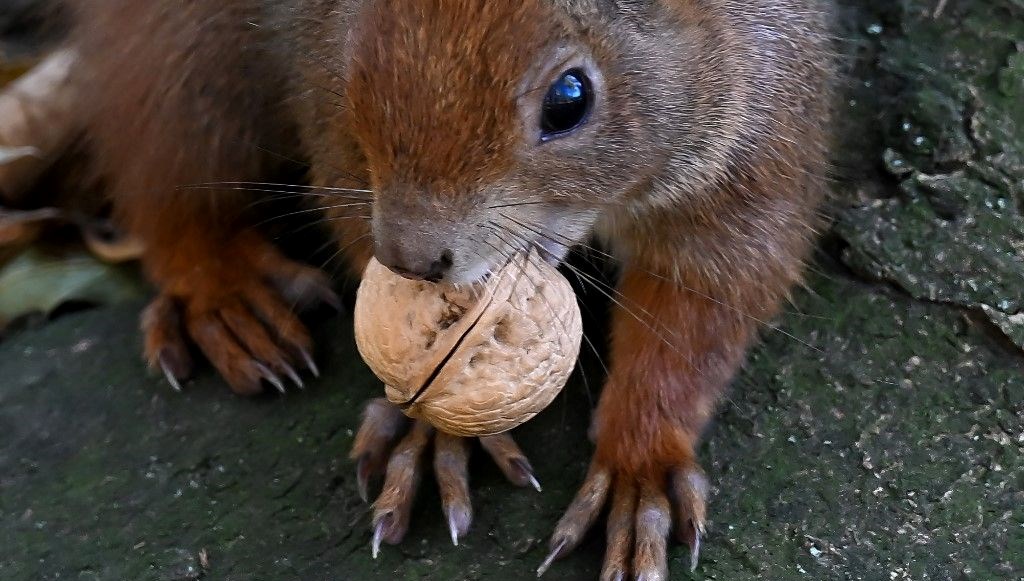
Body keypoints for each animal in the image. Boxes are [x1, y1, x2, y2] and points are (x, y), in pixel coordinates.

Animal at [46, 2, 831, 577]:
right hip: (184, 54)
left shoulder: (754, 130)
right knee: (160, 159)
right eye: (364, 47)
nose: (410, 256)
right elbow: (342, 187)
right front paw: (434, 431)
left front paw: (639, 467)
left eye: (569, 100)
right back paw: (223, 290)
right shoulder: (328, 99)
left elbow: (711, 296)